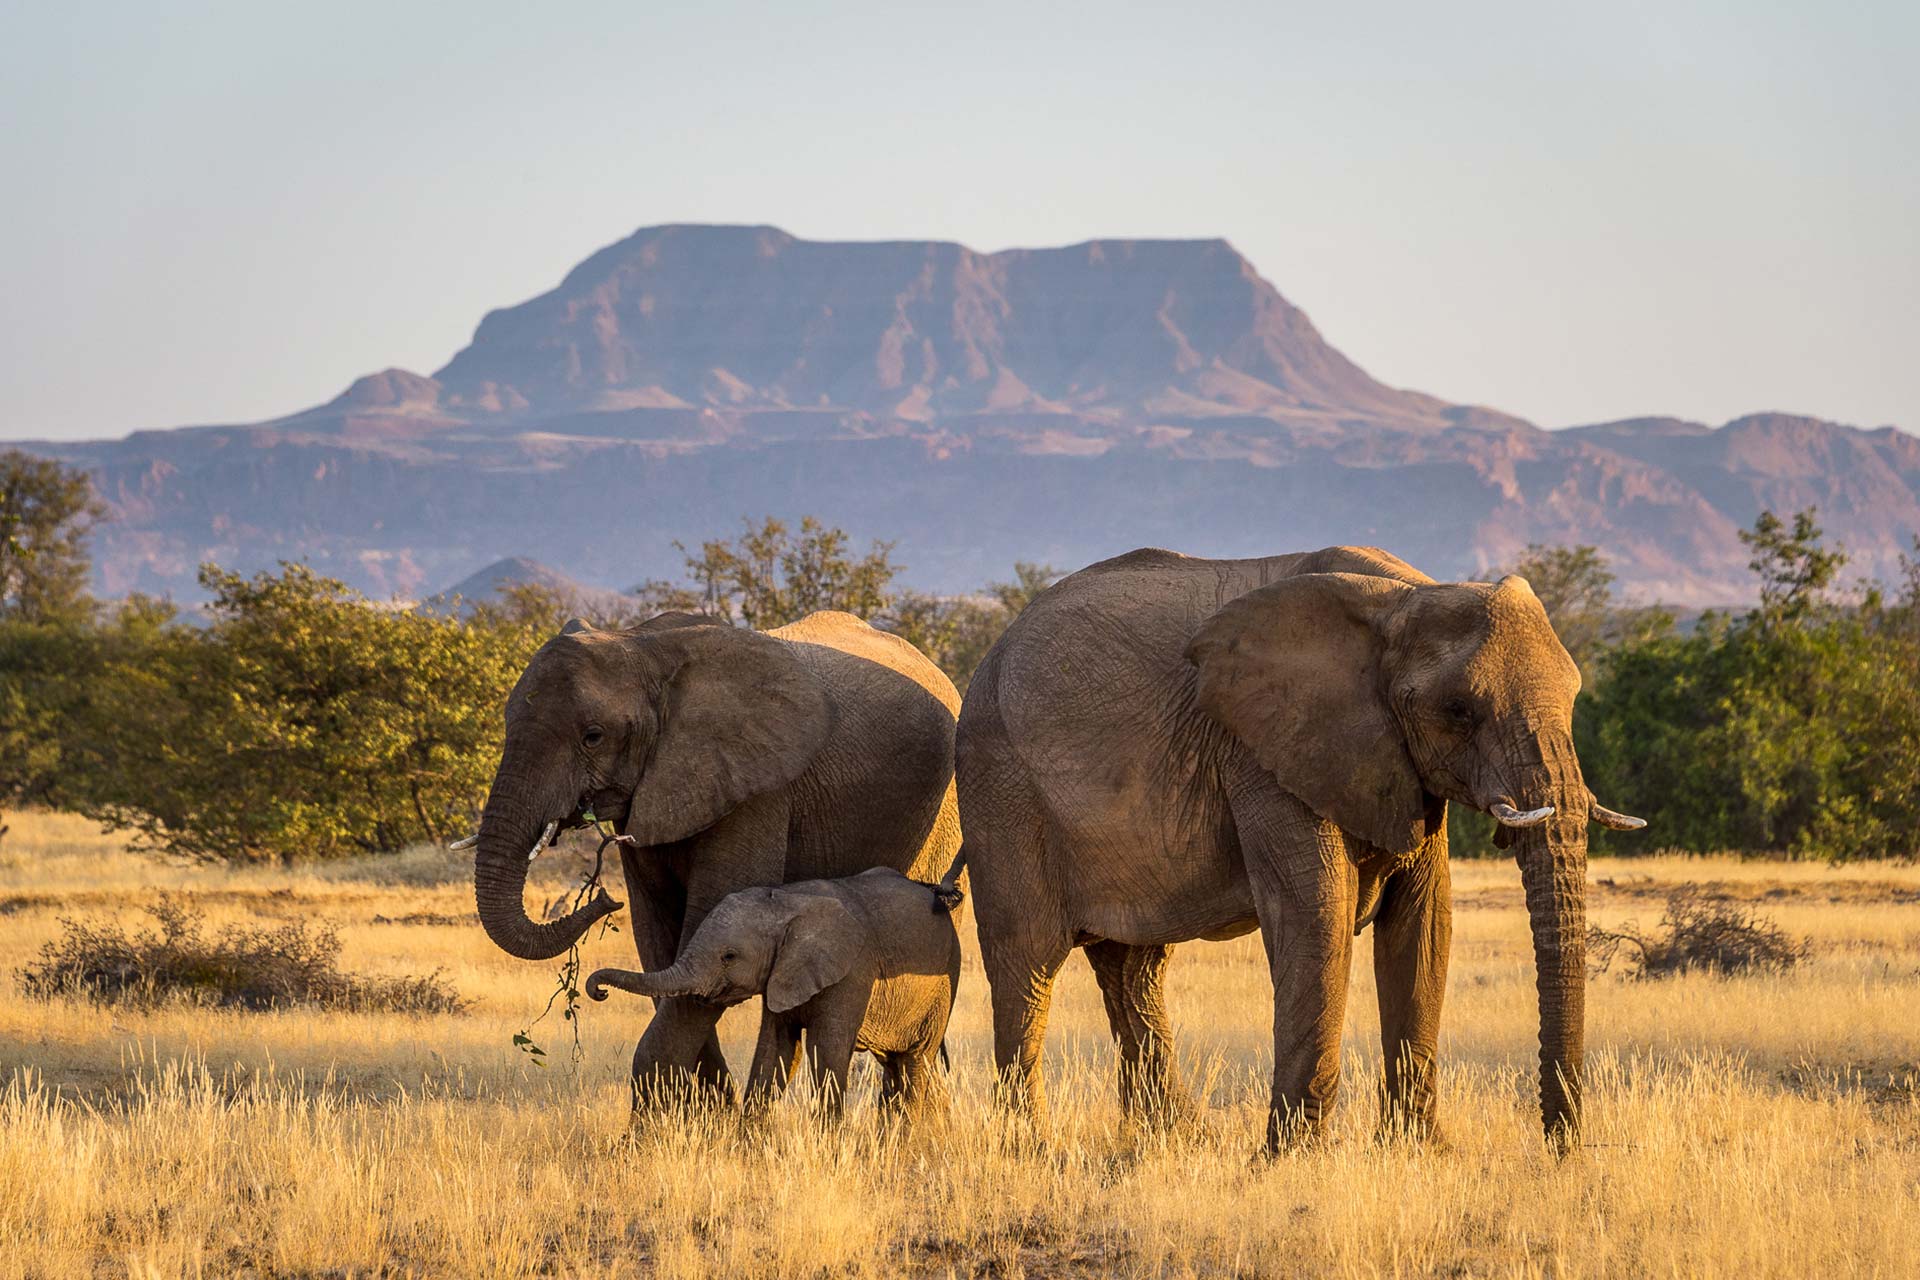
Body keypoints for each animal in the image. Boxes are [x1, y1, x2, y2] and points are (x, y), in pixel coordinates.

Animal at [583, 871, 967, 1120]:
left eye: (729, 956)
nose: (598, 990)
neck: (786, 903)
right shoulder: (781, 972)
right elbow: (776, 1048)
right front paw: (749, 1152)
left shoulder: (853, 971)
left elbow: (826, 1049)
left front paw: (828, 1155)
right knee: (895, 1066)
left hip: (946, 978)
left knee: (915, 1061)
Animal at [960, 545, 1651, 1151]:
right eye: (1458, 709)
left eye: (1575, 698)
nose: (1562, 1151)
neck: (1402, 598)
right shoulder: (1264, 750)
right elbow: (1317, 914)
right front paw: (1290, 1160)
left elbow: (1424, 925)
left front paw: (1419, 1154)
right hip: (1003, 790)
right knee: (1027, 964)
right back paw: (1030, 1149)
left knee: (1132, 967)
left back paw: (1177, 1141)